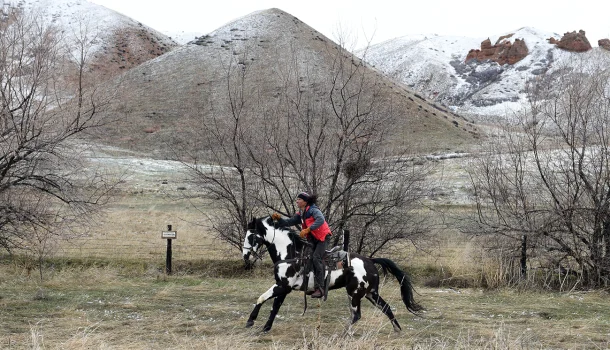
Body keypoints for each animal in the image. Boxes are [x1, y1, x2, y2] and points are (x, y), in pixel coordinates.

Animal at [240, 215, 420, 332]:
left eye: (251, 237)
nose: (246, 256)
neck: (291, 254)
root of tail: (370, 260)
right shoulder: (283, 288)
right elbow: (271, 304)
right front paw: (261, 325)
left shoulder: (283, 286)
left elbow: (266, 301)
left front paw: (255, 322)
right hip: (371, 293)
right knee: (386, 308)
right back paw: (397, 329)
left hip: (355, 293)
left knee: (357, 315)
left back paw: (344, 333)